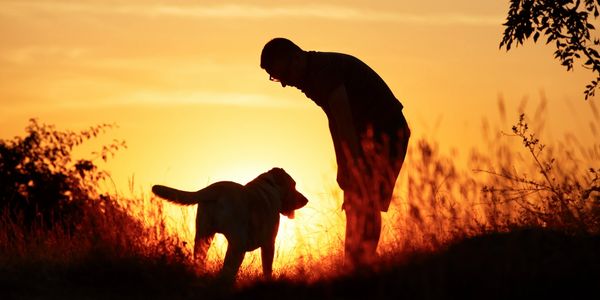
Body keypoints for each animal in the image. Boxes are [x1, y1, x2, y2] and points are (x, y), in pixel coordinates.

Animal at [150, 168, 310, 280]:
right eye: (293, 185)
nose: (306, 200)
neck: (270, 187)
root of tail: (217, 189)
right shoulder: (269, 243)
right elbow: (267, 270)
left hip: (203, 237)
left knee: (200, 261)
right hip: (237, 245)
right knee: (227, 272)